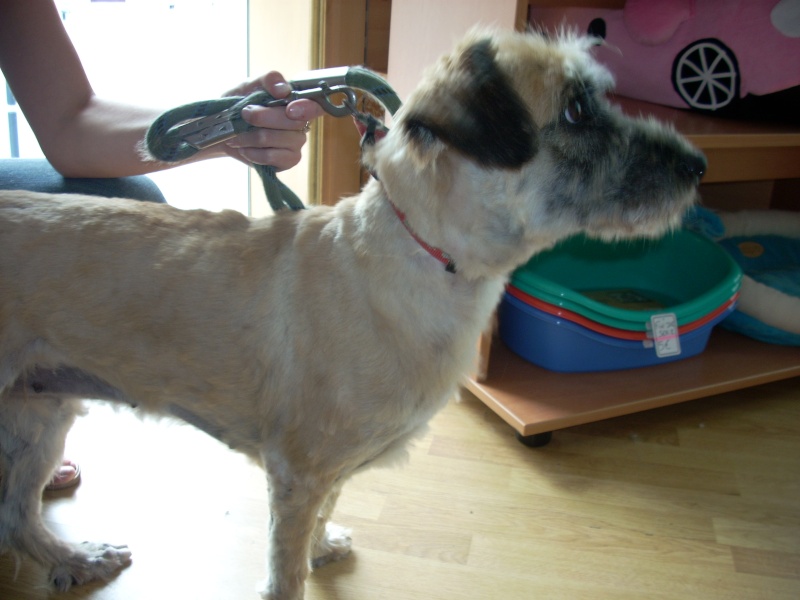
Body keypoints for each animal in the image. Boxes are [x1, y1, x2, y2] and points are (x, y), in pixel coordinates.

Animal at [0, 29, 704, 600]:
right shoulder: (295, 470)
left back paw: (72, 558)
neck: (421, 256)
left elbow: (327, 506)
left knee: (16, 513)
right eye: (578, 109)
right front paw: (299, 567)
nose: (698, 164)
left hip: (41, 411)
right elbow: (285, 571)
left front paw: (320, 546)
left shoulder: (328, 468)